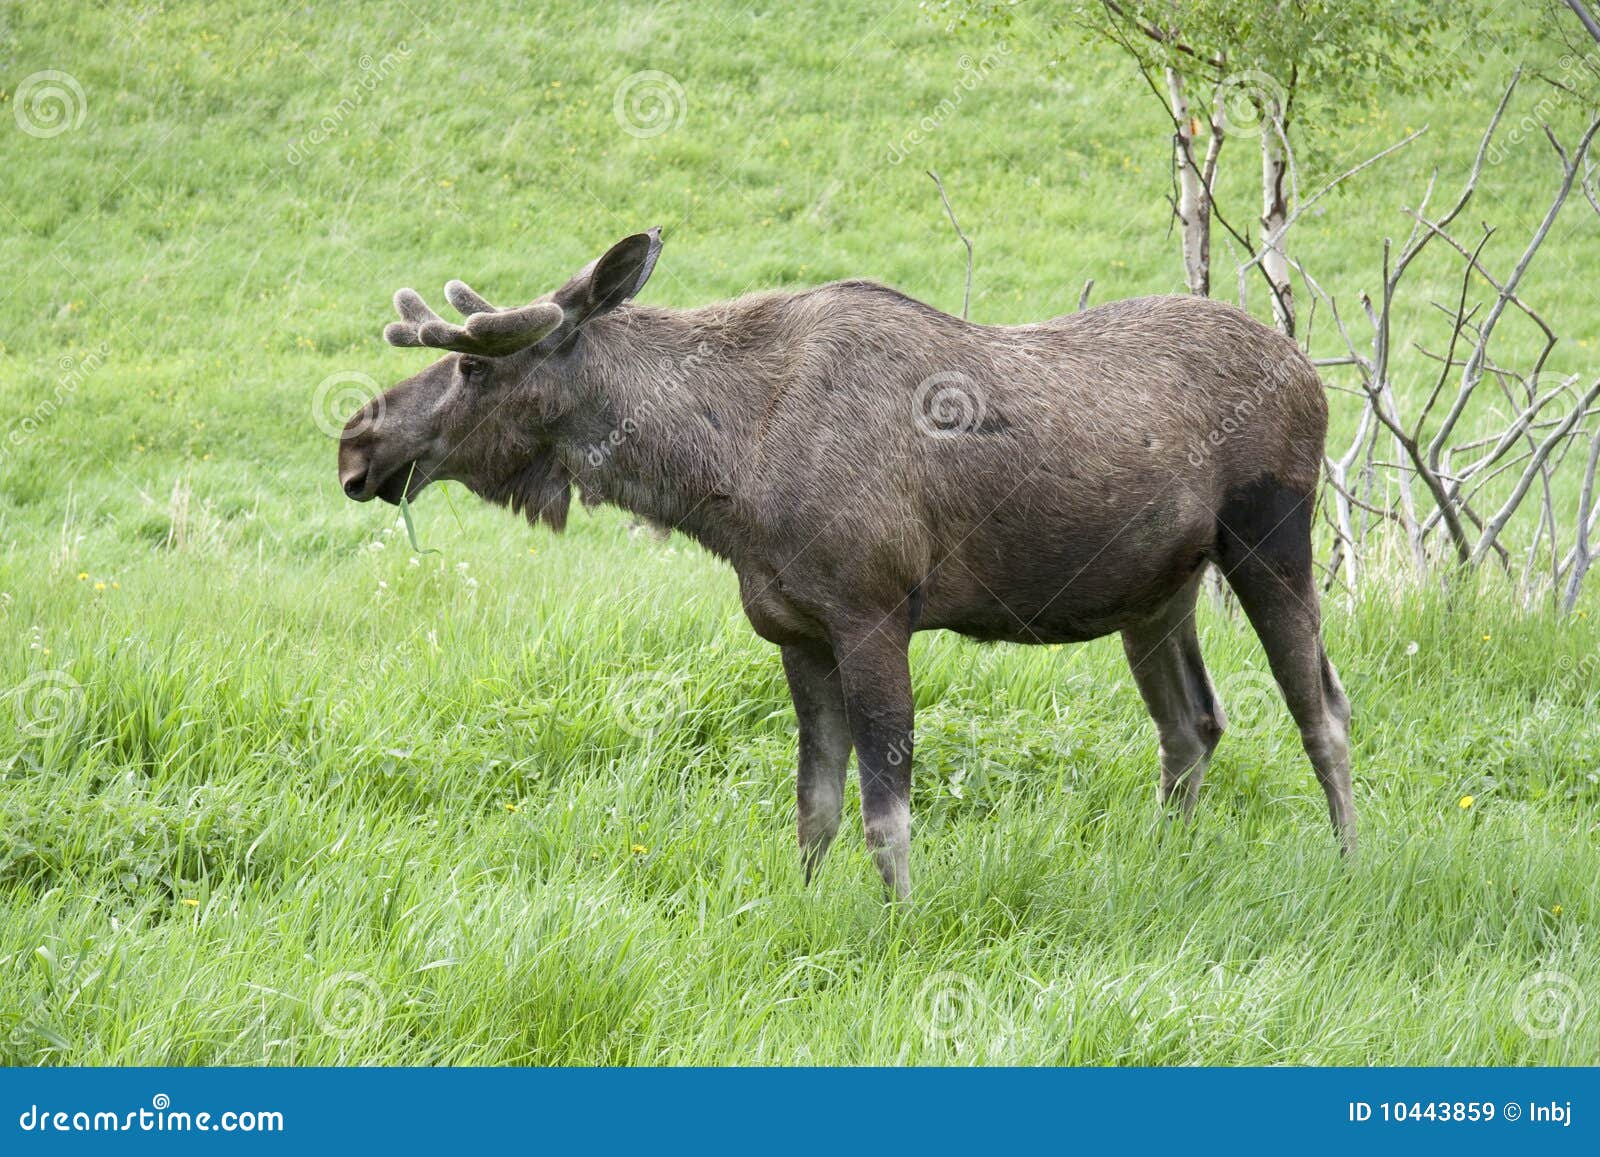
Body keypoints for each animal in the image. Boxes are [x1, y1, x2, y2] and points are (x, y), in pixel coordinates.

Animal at [337, 228, 1354, 900]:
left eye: (473, 368)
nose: (357, 439)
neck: (722, 478)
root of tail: (1312, 372)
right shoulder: (794, 630)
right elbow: (813, 807)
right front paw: (808, 908)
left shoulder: (873, 613)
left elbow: (883, 811)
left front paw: (900, 923)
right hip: (1155, 592)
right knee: (1193, 725)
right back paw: (1165, 865)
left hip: (1272, 540)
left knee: (1323, 711)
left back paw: (1353, 859)